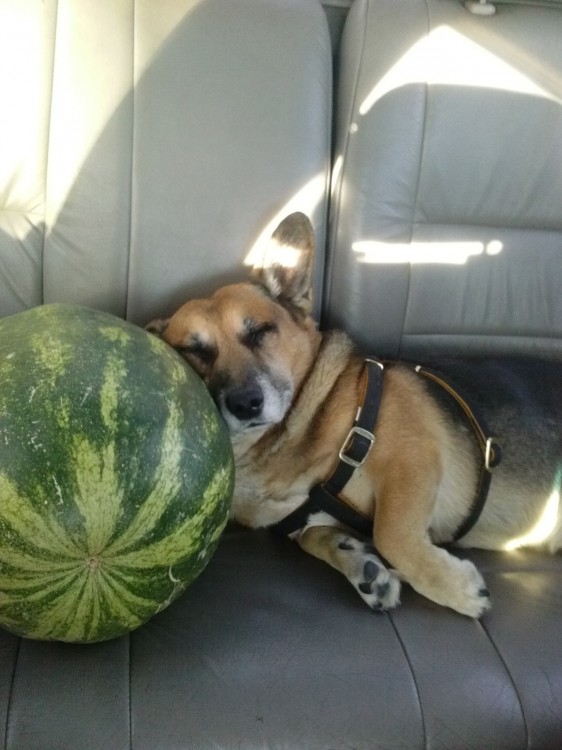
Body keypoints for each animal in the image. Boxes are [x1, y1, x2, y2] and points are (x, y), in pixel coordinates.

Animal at [145, 212, 560, 616]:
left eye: (260, 332)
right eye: (195, 351)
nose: (246, 404)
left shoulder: (412, 458)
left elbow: (391, 535)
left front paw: (455, 587)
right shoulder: (306, 517)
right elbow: (315, 536)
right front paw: (360, 563)